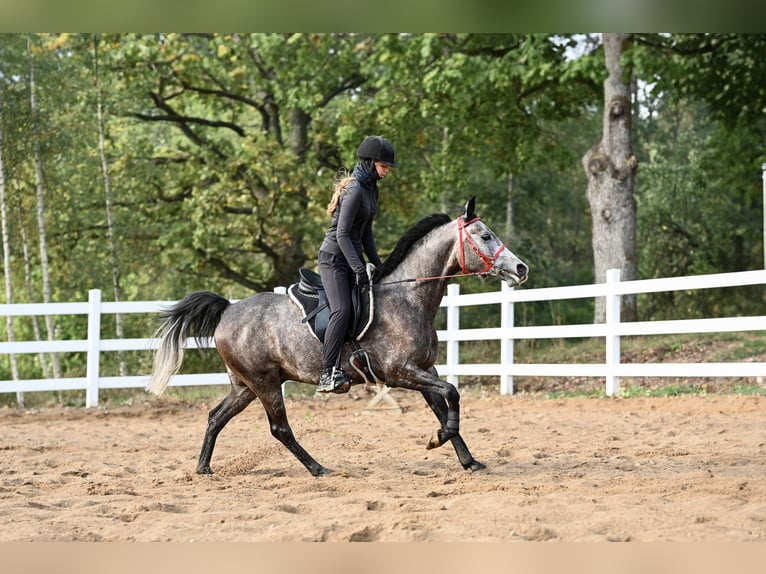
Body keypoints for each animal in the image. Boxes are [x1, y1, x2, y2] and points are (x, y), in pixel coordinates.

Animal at [147, 198, 532, 476]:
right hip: (265, 383)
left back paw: (203, 467)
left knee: (216, 416)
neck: (408, 297)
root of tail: (228, 310)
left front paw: (466, 458)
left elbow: (443, 405)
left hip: (246, 386)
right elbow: (452, 393)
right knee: (279, 429)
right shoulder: (400, 373)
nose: (521, 268)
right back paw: (319, 468)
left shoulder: (426, 370)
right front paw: (437, 440)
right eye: (485, 235)